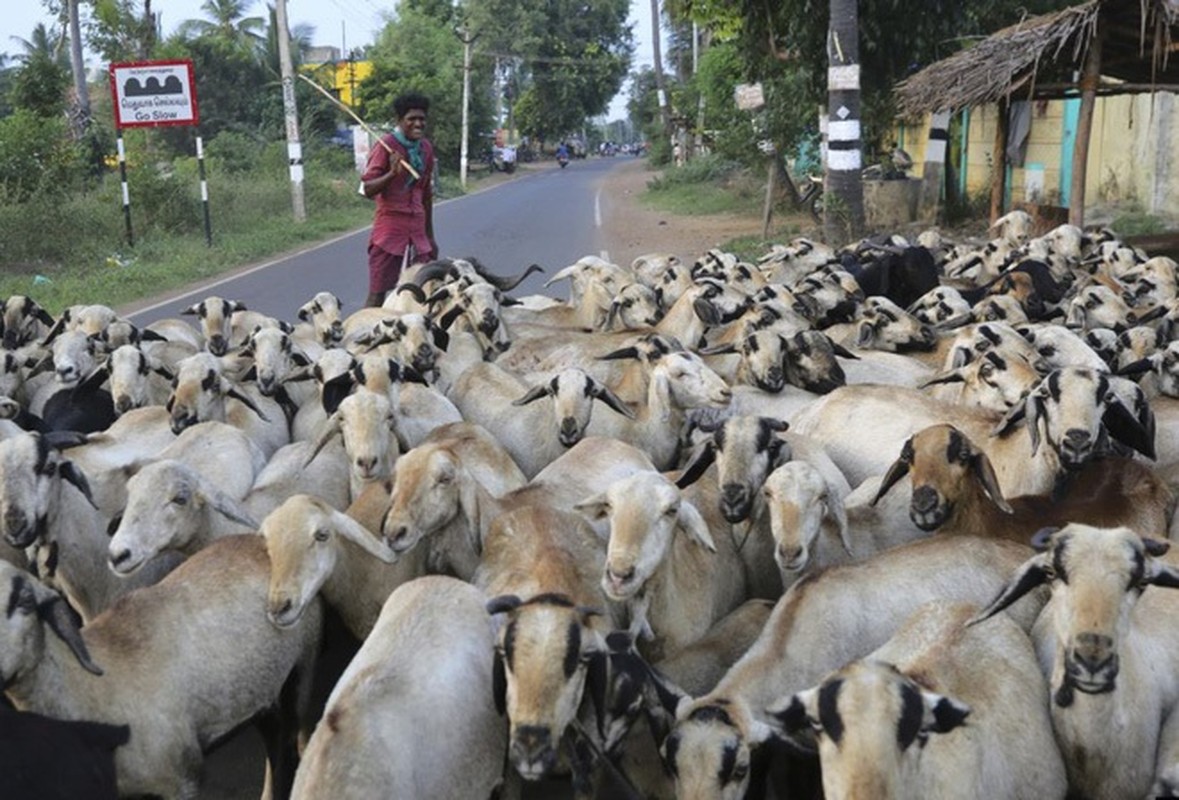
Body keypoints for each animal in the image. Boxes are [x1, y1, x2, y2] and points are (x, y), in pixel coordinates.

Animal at [0, 537, 320, 800]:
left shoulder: (181, 780)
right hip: (260, 693)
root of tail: (261, 539)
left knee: (290, 744)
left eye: (24, 600)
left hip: (302, 666)